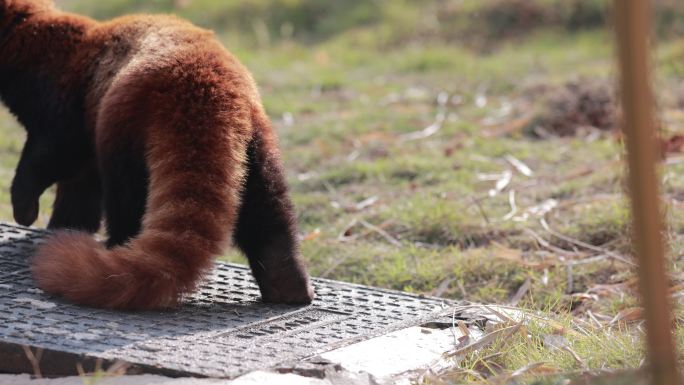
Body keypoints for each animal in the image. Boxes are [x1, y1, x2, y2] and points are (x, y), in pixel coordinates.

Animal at [0, 0, 316, 308]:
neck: (35, 36)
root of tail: (209, 93)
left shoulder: (63, 103)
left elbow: (49, 158)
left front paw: (25, 210)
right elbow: (79, 190)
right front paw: (63, 228)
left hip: (123, 133)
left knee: (126, 201)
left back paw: (118, 247)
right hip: (256, 142)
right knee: (269, 212)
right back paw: (288, 284)